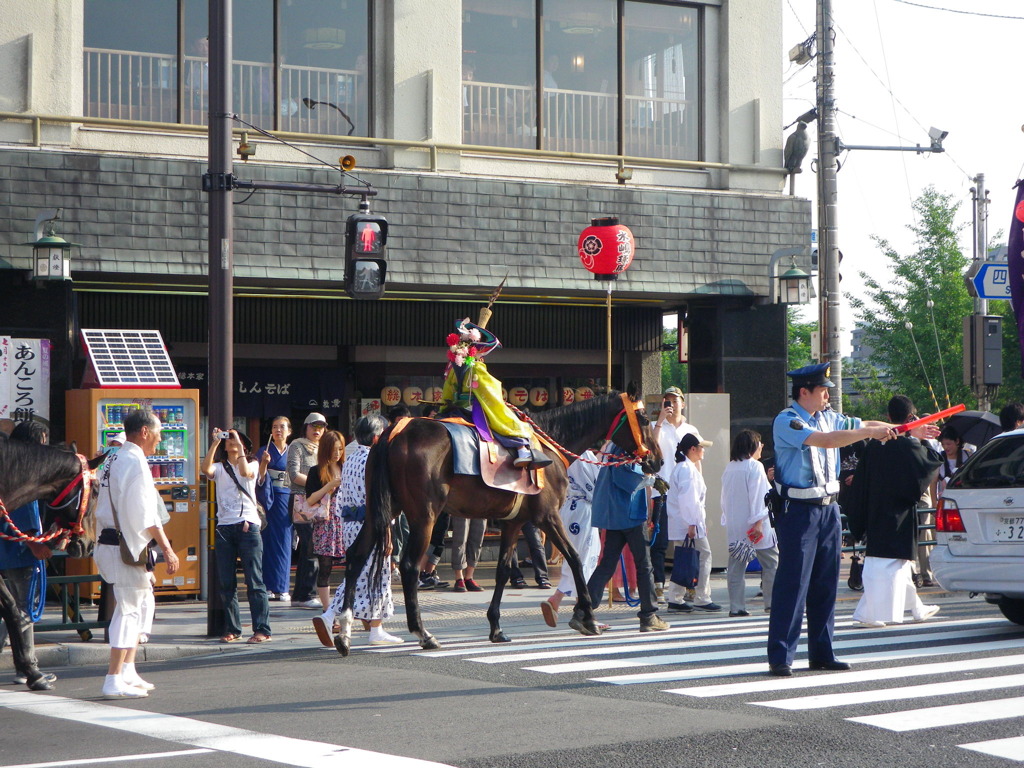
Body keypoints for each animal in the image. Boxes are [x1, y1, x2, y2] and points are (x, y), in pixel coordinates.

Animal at [0, 434, 102, 692]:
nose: (89, 544)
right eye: (96, 490)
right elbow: (13, 609)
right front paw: (32, 672)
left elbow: (11, 608)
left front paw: (31, 671)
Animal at [331, 385, 659, 655]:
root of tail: (396, 431)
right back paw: (423, 634)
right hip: (424, 515)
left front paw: (496, 627)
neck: (551, 447)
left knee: (356, 555)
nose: (657, 459)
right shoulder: (547, 516)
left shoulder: (515, 522)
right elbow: (576, 559)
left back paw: (344, 632)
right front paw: (587, 617)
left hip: (382, 509)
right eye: (643, 418)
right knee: (411, 566)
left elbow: (503, 571)